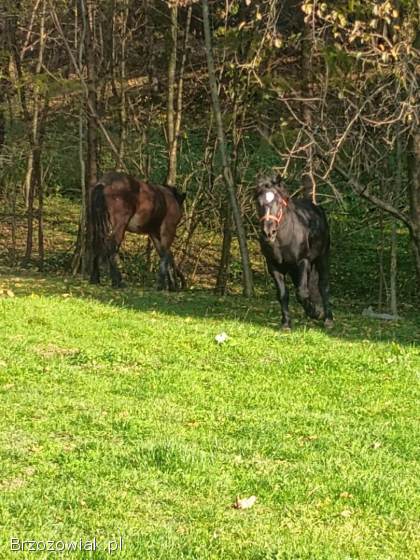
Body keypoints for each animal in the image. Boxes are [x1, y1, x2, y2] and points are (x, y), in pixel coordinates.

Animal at [254, 176, 334, 328]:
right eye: (258, 203)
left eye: (279, 202)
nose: (268, 232)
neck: (284, 239)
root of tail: (318, 208)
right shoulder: (274, 267)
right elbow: (283, 294)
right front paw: (286, 324)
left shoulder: (302, 262)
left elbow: (302, 292)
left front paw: (315, 313)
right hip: (293, 269)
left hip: (321, 259)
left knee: (323, 286)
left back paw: (328, 319)